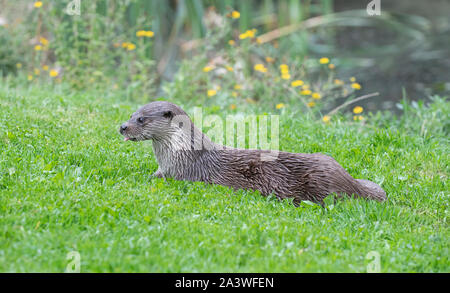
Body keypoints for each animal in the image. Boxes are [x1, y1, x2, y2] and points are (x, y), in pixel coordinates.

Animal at [119, 101, 386, 204]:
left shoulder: (179, 173)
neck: (181, 153)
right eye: (131, 114)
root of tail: (351, 183)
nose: (122, 126)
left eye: (141, 119)